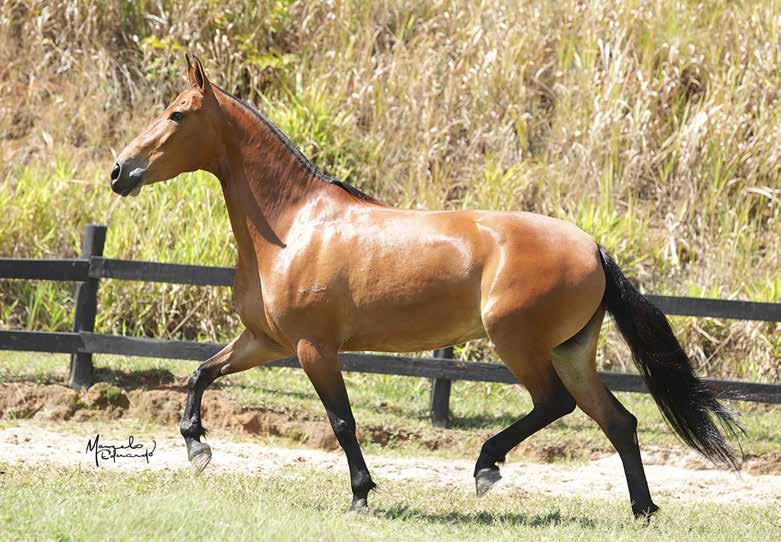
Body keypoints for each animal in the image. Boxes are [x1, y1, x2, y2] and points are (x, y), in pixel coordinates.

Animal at [108, 56, 736, 524]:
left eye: (177, 114)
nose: (119, 172)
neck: (290, 228)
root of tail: (594, 248)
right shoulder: (265, 341)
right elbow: (200, 372)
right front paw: (197, 445)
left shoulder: (314, 349)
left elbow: (342, 421)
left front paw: (361, 494)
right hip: (571, 351)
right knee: (618, 422)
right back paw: (642, 510)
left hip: (519, 343)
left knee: (553, 404)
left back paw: (486, 467)